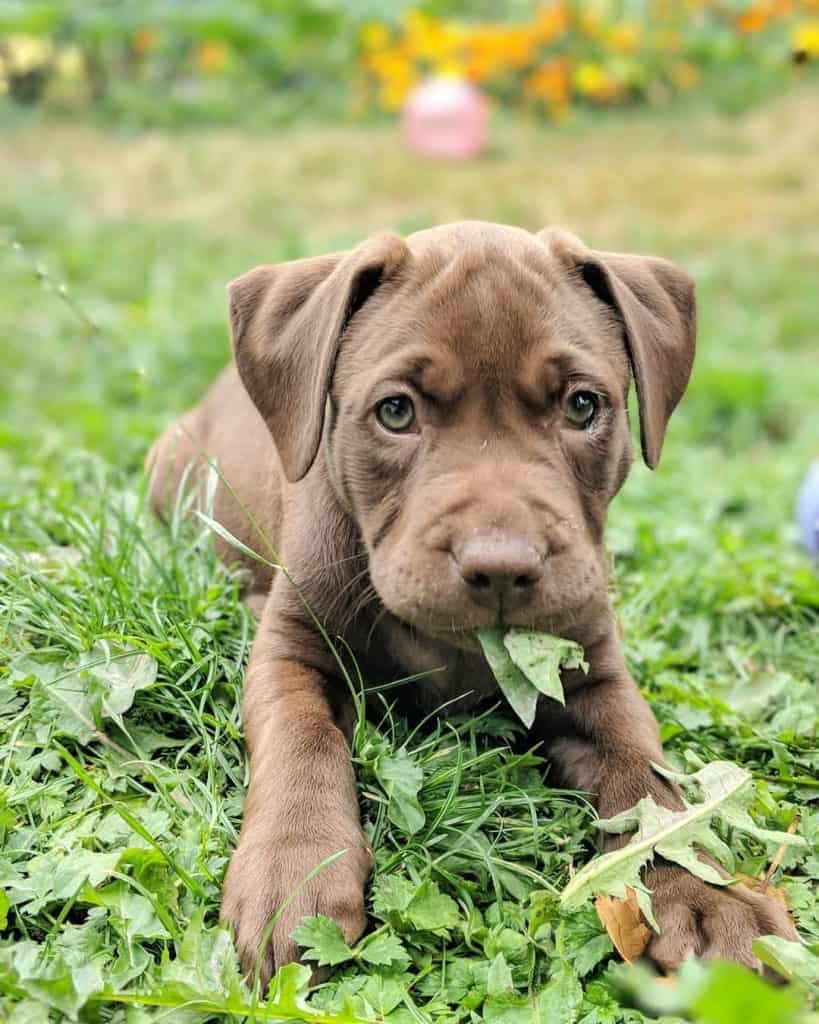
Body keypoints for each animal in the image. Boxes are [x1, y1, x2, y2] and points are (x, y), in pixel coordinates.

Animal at [148, 222, 798, 983]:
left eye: (582, 405)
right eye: (395, 411)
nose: (500, 566)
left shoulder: (591, 672)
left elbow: (647, 782)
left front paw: (702, 890)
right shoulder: (291, 652)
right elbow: (301, 741)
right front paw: (295, 870)